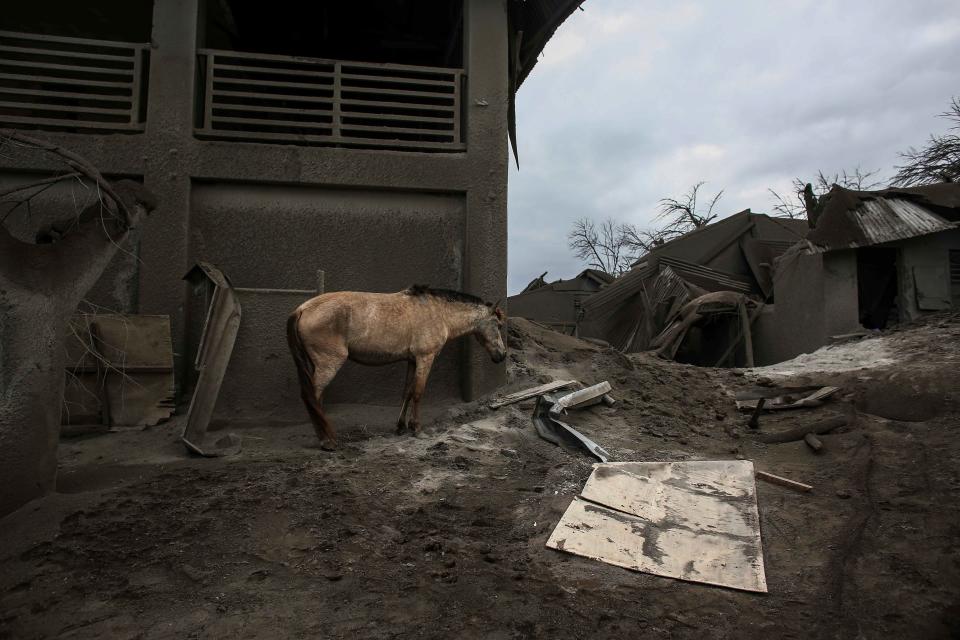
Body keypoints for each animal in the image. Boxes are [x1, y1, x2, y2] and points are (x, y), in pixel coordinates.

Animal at [286, 284, 506, 450]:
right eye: (498, 325)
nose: (502, 355)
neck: (437, 311)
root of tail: (302, 308)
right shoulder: (425, 358)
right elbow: (418, 393)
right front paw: (416, 428)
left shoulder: (412, 360)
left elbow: (407, 392)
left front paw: (401, 427)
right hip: (329, 363)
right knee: (312, 397)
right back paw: (327, 441)